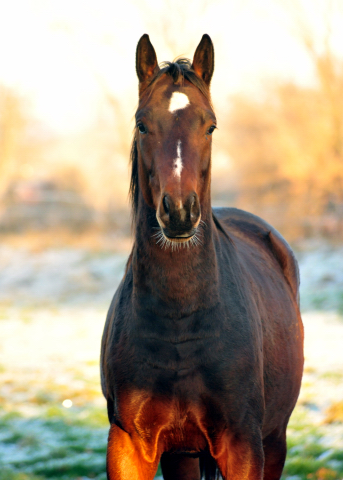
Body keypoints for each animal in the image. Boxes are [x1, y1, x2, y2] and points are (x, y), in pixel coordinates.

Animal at [101, 34, 306, 480]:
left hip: (274, 440)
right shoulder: (130, 446)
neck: (180, 322)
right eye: (142, 123)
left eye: (209, 124)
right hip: (184, 455)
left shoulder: (243, 447)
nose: (179, 212)